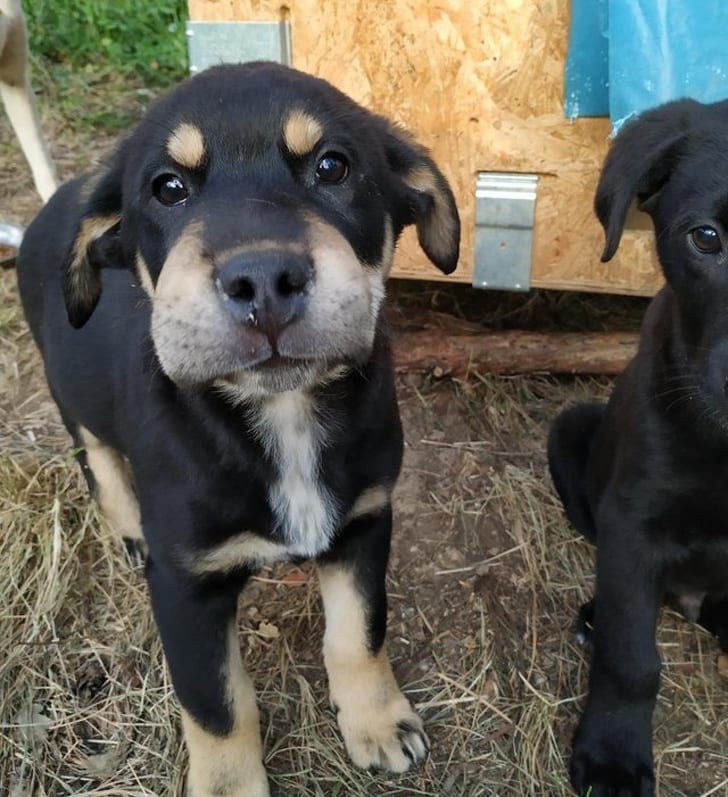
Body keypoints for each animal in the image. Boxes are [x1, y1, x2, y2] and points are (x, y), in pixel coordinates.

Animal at [15, 63, 460, 796]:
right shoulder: (185, 585)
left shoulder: (365, 521)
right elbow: (217, 704)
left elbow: (358, 633)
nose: (262, 278)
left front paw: (377, 723)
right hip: (66, 389)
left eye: (333, 167)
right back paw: (127, 526)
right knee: (97, 456)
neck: (282, 415)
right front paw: (228, 783)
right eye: (168, 188)